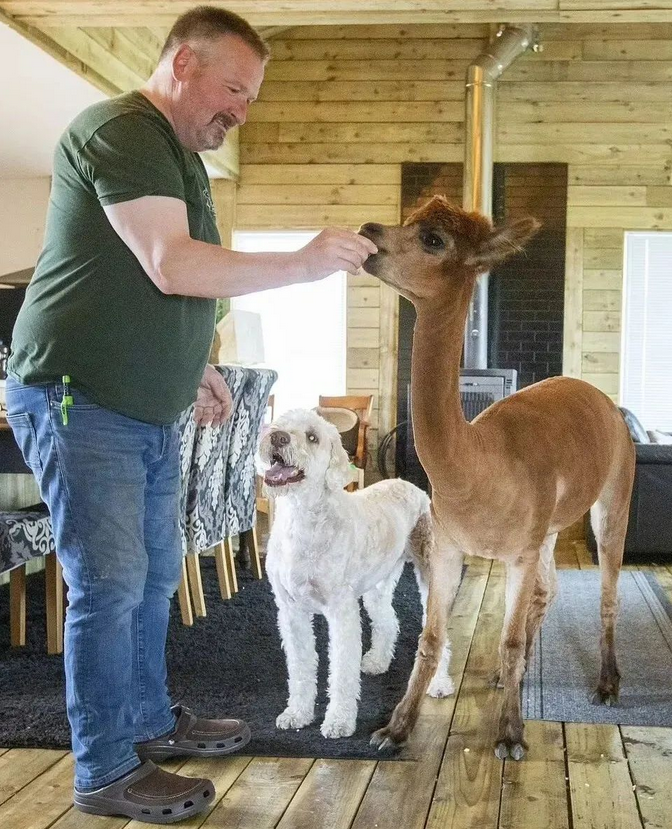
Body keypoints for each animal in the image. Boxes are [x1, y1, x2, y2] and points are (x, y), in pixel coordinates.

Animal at [256, 408, 452, 736]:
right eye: (280, 424)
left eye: (313, 437)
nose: (278, 437)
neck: (303, 519)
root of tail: (411, 486)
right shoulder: (291, 612)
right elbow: (301, 668)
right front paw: (297, 713)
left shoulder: (341, 612)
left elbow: (341, 672)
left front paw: (338, 721)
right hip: (378, 584)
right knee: (388, 621)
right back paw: (377, 661)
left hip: (430, 580)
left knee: (439, 634)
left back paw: (440, 683)